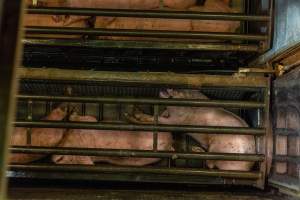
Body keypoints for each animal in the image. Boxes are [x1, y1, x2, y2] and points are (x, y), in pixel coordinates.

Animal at [126, 90, 255, 171]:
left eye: (179, 92)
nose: (168, 88)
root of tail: (246, 167)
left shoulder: (178, 120)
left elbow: (161, 120)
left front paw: (139, 116)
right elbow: (163, 114)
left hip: (219, 149)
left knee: (210, 164)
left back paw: (195, 150)